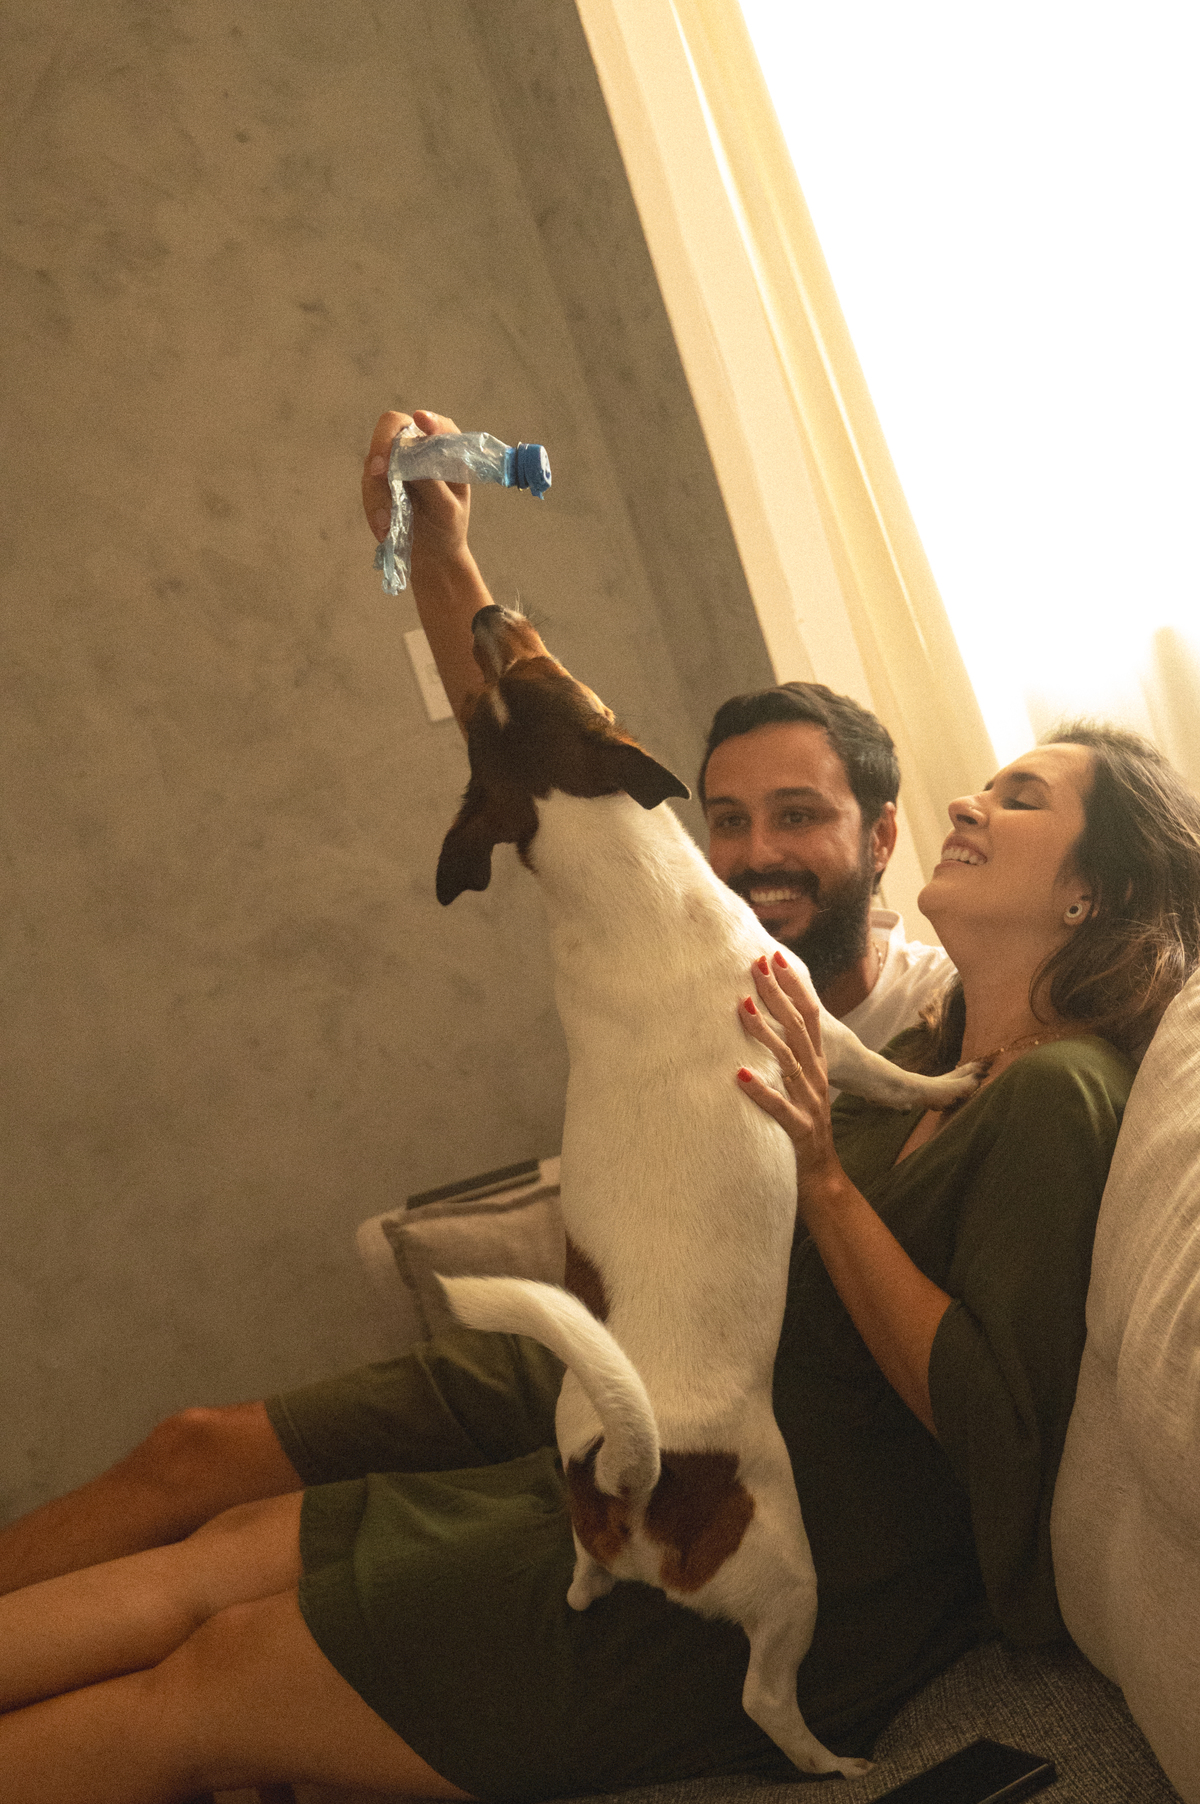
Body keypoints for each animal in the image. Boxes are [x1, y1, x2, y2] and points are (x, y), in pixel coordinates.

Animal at [434, 607, 979, 1777]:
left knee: (587, 1577)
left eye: (502, 684)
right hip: (784, 1565)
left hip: (617, 1534)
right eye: (542, 665)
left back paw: (588, 1585)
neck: (604, 870)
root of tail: (621, 1479)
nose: (484, 614)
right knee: (764, 1696)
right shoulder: (814, 1030)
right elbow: (892, 1076)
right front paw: (952, 1081)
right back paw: (831, 1762)